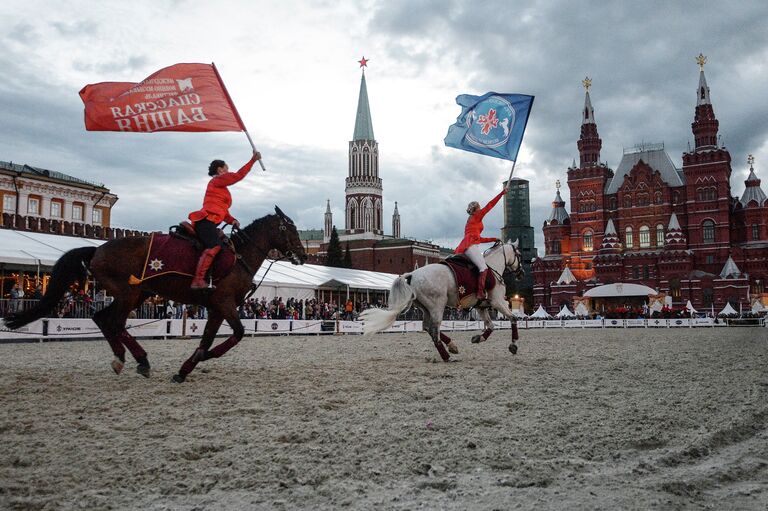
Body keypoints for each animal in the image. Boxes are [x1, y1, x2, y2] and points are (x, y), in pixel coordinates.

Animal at [6, 206, 306, 382]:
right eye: (291, 228)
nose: (302, 255)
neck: (238, 257)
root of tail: (97, 250)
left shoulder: (216, 307)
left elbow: (209, 339)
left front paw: (188, 367)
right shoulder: (224, 303)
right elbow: (238, 334)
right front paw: (200, 359)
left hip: (135, 294)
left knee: (102, 319)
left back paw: (125, 358)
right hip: (129, 293)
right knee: (114, 322)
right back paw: (140, 360)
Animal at [360, 242, 520, 362]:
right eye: (519, 254)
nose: (521, 272)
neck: (492, 269)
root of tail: (412, 274)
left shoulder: (481, 307)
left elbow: (491, 325)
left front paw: (478, 338)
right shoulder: (498, 302)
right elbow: (513, 318)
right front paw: (514, 345)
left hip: (426, 308)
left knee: (427, 327)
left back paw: (452, 346)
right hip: (438, 306)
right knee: (434, 330)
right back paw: (447, 356)